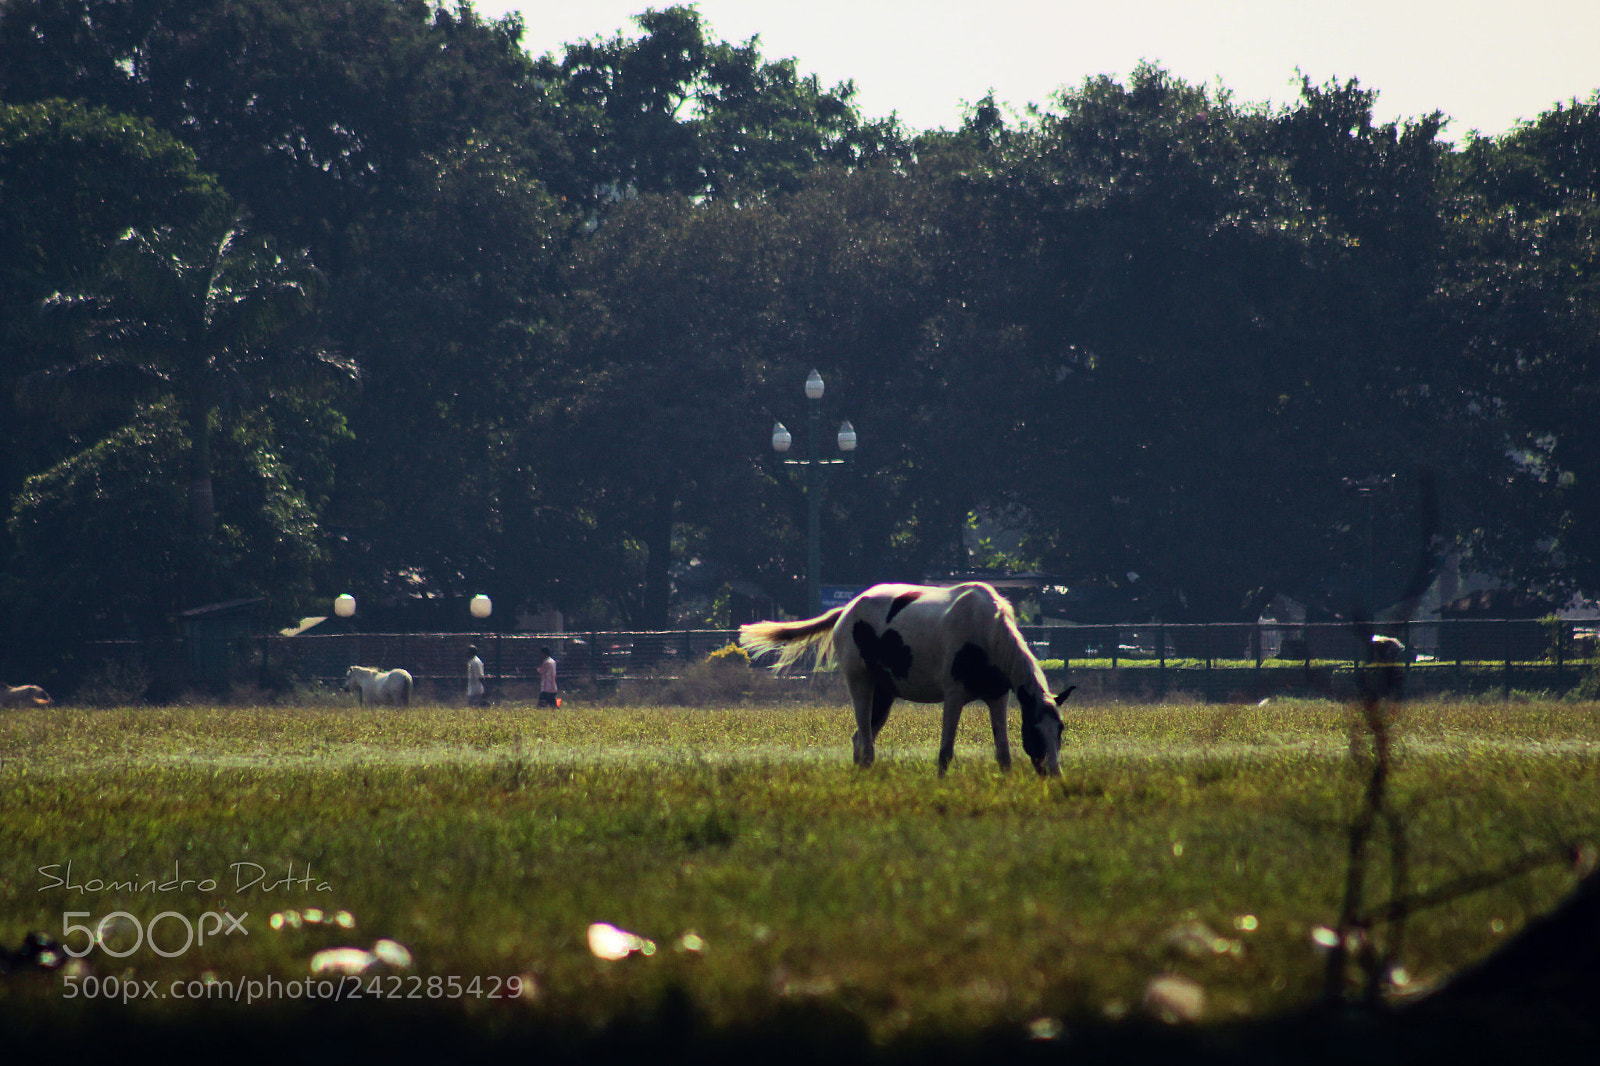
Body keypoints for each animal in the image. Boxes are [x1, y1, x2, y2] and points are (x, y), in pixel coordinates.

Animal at [740, 582, 1073, 776]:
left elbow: (1003, 752)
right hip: (861, 685)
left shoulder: (997, 697)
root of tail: (847, 609)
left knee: (860, 739)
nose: (1054, 773)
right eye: (1035, 730)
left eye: (1060, 729)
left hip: (884, 694)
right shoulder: (954, 697)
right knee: (866, 743)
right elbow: (945, 751)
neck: (985, 632)